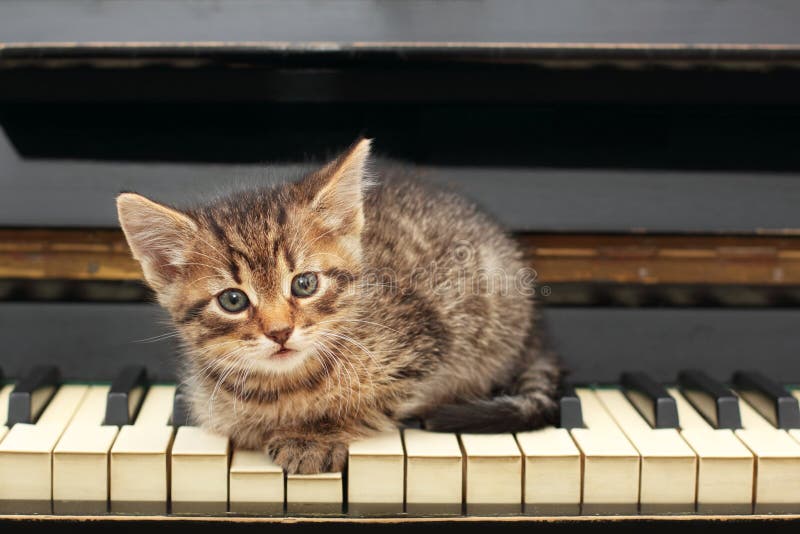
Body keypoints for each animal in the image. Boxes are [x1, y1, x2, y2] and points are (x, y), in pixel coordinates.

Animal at [117, 140, 564, 476]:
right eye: (232, 300)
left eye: (305, 284)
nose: (279, 331)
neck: (287, 385)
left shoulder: (429, 342)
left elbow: (378, 403)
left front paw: (316, 436)